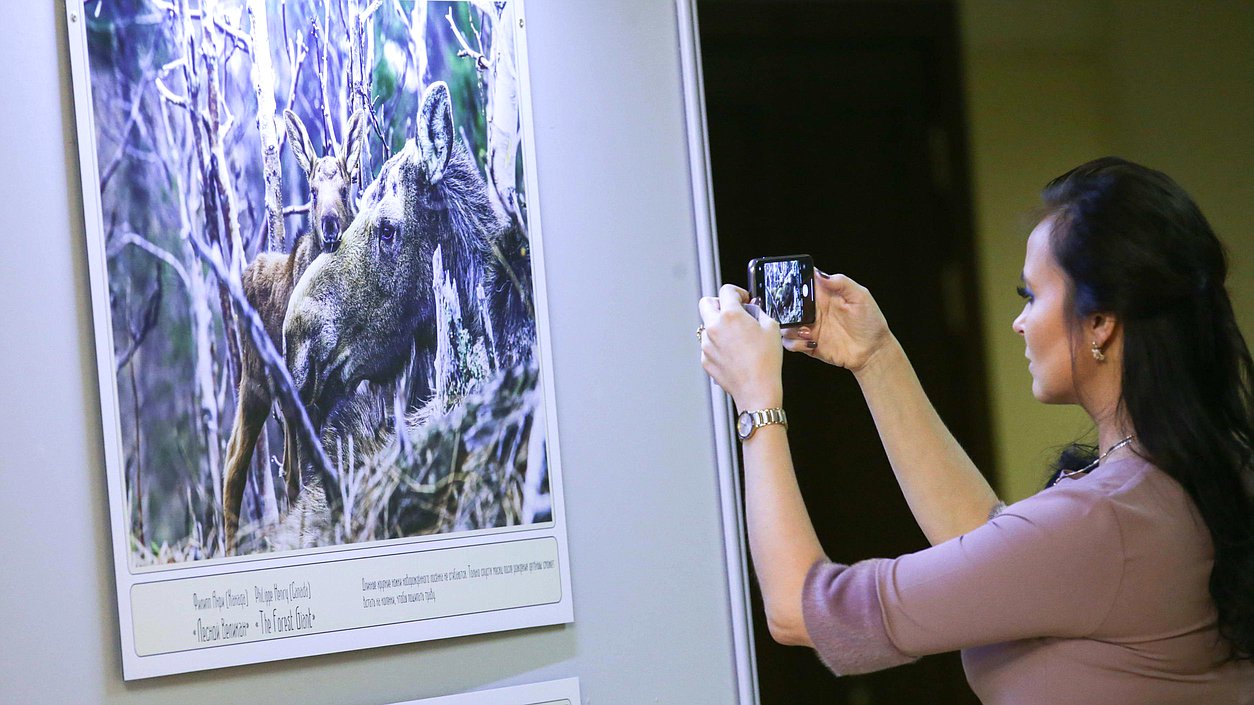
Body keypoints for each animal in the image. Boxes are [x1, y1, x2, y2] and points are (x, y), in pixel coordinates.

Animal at [224, 107, 368, 551]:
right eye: (313, 190)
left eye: (346, 186)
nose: (330, 226)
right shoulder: (297, 393)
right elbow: (296, 476)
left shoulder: (335, 389)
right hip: (255, 382)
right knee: (235, 466)